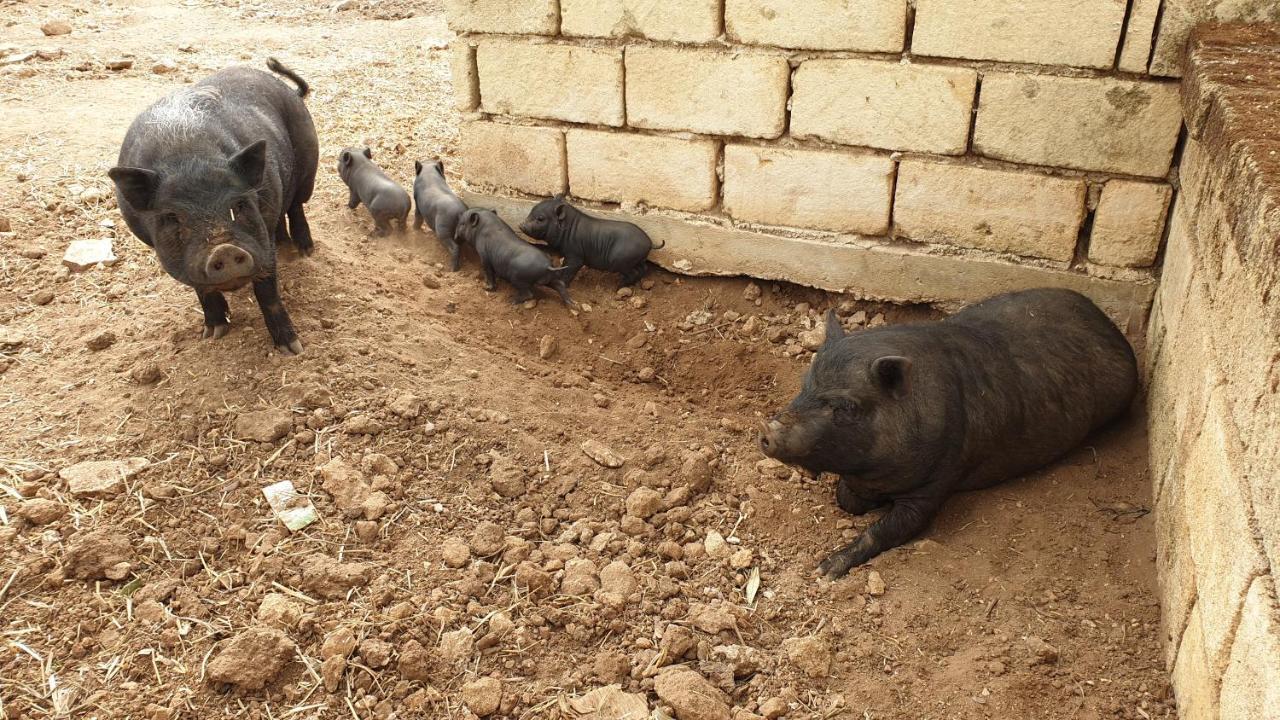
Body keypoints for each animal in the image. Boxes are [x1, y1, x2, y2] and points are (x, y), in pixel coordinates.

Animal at [110, 58, 320, 356]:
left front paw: (292, 349)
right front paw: (213, 333)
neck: (187, 157)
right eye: (172, 217)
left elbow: (267, 292)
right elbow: (201, 288)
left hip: (308, 162)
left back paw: (304, 250)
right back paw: (284, 247)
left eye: (239, 204)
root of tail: (291, 93)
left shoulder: (260, 242)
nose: (225, 249)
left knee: (296, 205)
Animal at [517, 196, 665, 288]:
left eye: (540, 218)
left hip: (621, 260)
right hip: (637, 259)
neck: (567, 229)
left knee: (632, 272)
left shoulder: (575, 255)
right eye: (531, 211)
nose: (521, 224)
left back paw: (619, 286)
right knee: (643, 268)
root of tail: (650, 243)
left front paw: (564, 283)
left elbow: (570, 269)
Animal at [752, 286, 1136, 576]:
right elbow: (846, 499)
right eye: (806, 383)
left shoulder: (937, 482)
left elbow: (887, 529)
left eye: (846, 407)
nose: (768, 431)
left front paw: (824, 570)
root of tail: (1110, 327)